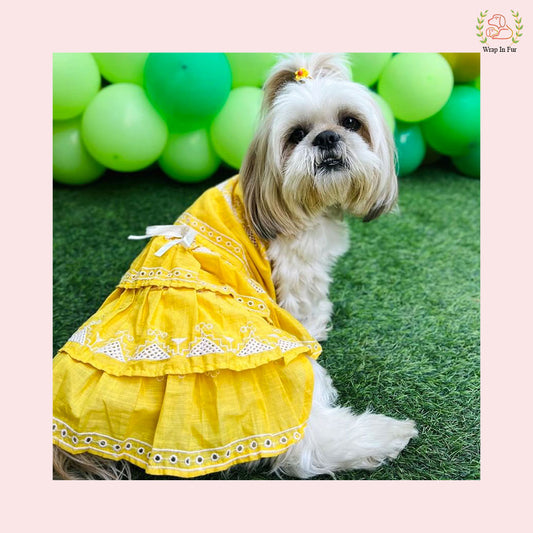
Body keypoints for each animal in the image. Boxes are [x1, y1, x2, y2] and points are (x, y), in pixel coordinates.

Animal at [55, 53, 420, 478]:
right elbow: (307, 303)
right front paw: (319, 322)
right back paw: (387, 435)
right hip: (282, 365)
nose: (327, 138)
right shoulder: (299, 266)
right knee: (306, 448)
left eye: (350, 122)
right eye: (296, 134)